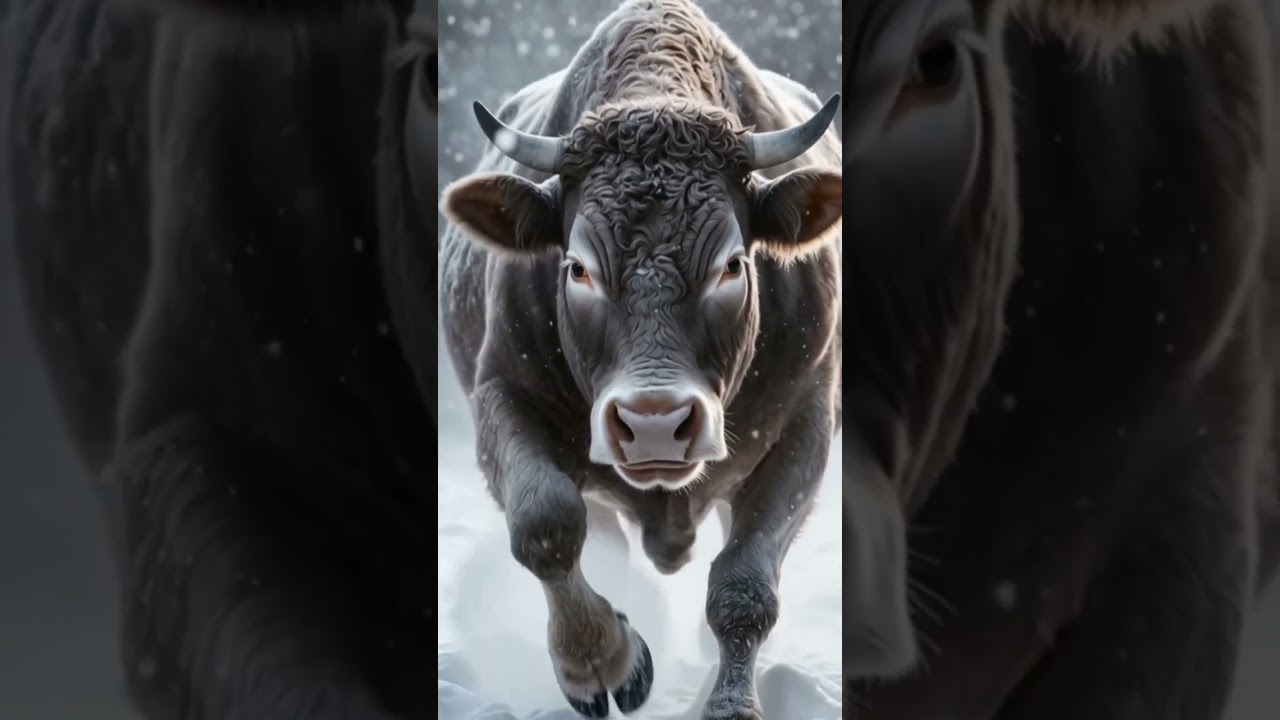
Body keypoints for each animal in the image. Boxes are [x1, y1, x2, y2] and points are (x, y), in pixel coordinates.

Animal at [437, 1, 842, 718]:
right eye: (577, 267)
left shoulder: (806, 425)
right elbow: (545, 522)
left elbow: (744, 585)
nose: (655, 423)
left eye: (732, 264)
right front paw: (601, 664)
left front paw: (731, 702)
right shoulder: (501, 394)